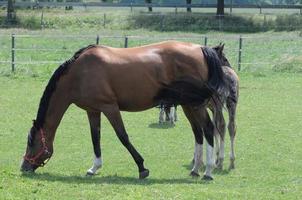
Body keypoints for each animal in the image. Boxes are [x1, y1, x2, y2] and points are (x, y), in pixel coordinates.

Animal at [21, 40, 228, 180]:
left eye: (31, 142)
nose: (24, 167)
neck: (80, 73)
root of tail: (201, 49)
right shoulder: (93, 110)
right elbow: (95, 138)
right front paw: (94, 168)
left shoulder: (110, 107)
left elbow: (123, 137)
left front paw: (142, 168)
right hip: (188, 105)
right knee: (198, 132)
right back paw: (195, 170)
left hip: (195, 105)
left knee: (208, 129)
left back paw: (208, 171)